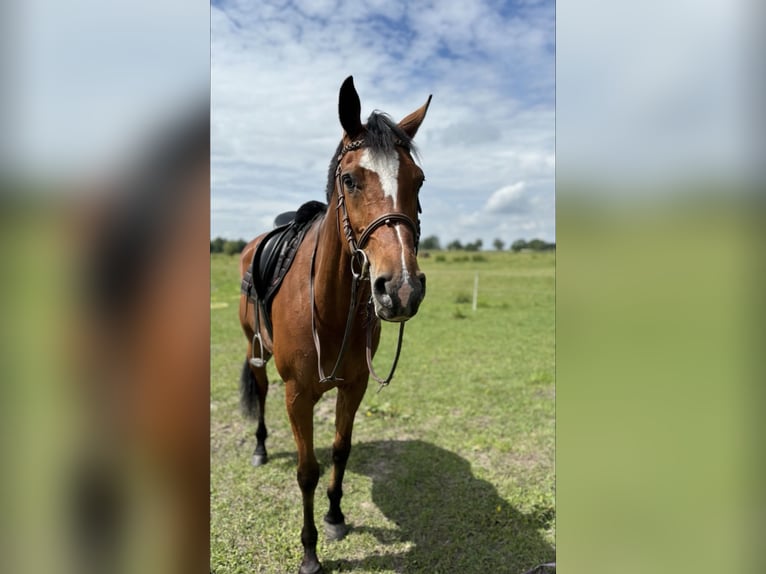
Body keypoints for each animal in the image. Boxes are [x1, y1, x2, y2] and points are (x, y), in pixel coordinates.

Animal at [240, 77, 432, 574]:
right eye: (350, 179)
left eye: (418, 180)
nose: (401, 287)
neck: (329, 307)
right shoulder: (297, 395)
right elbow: (307, 470)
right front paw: (309, 551)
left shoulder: (354, 385)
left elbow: (340, 451)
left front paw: (335, 516)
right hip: (255, 350)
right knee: (260, 391)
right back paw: (260, 448)